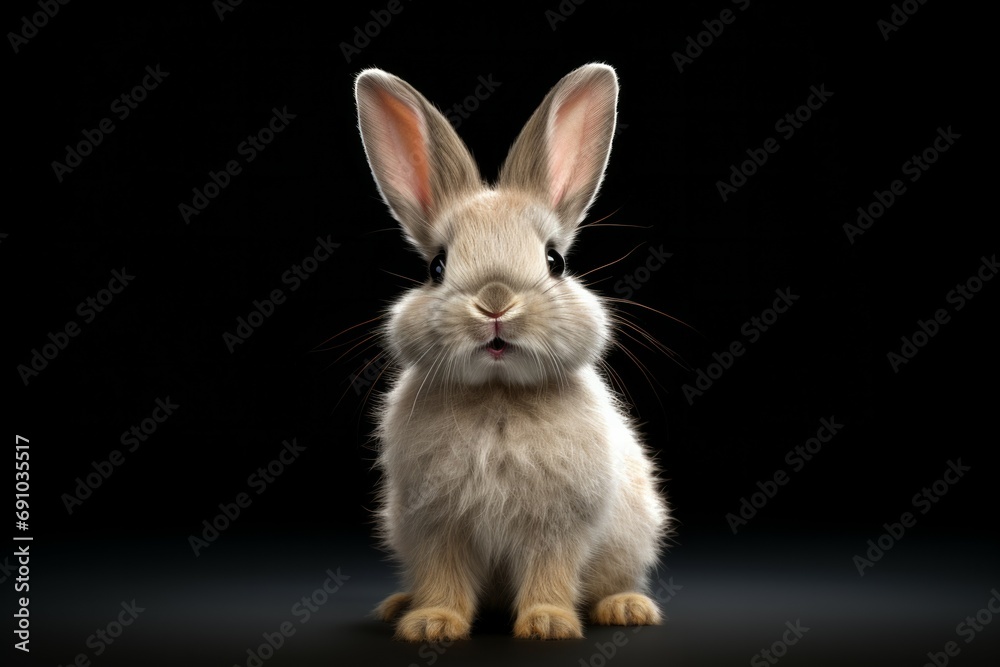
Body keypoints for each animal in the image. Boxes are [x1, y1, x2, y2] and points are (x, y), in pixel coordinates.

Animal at [353, 62, 670, 642]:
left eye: (554, 261)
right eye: (436, 266)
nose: (495, 301)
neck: (497, 394)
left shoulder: (559, 523)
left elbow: (551, 571)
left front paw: (546, 624)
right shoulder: (435, 523)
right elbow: (444, 575)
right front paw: (432, 623)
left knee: (614, 580)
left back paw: (627, 608)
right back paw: (399, 606)